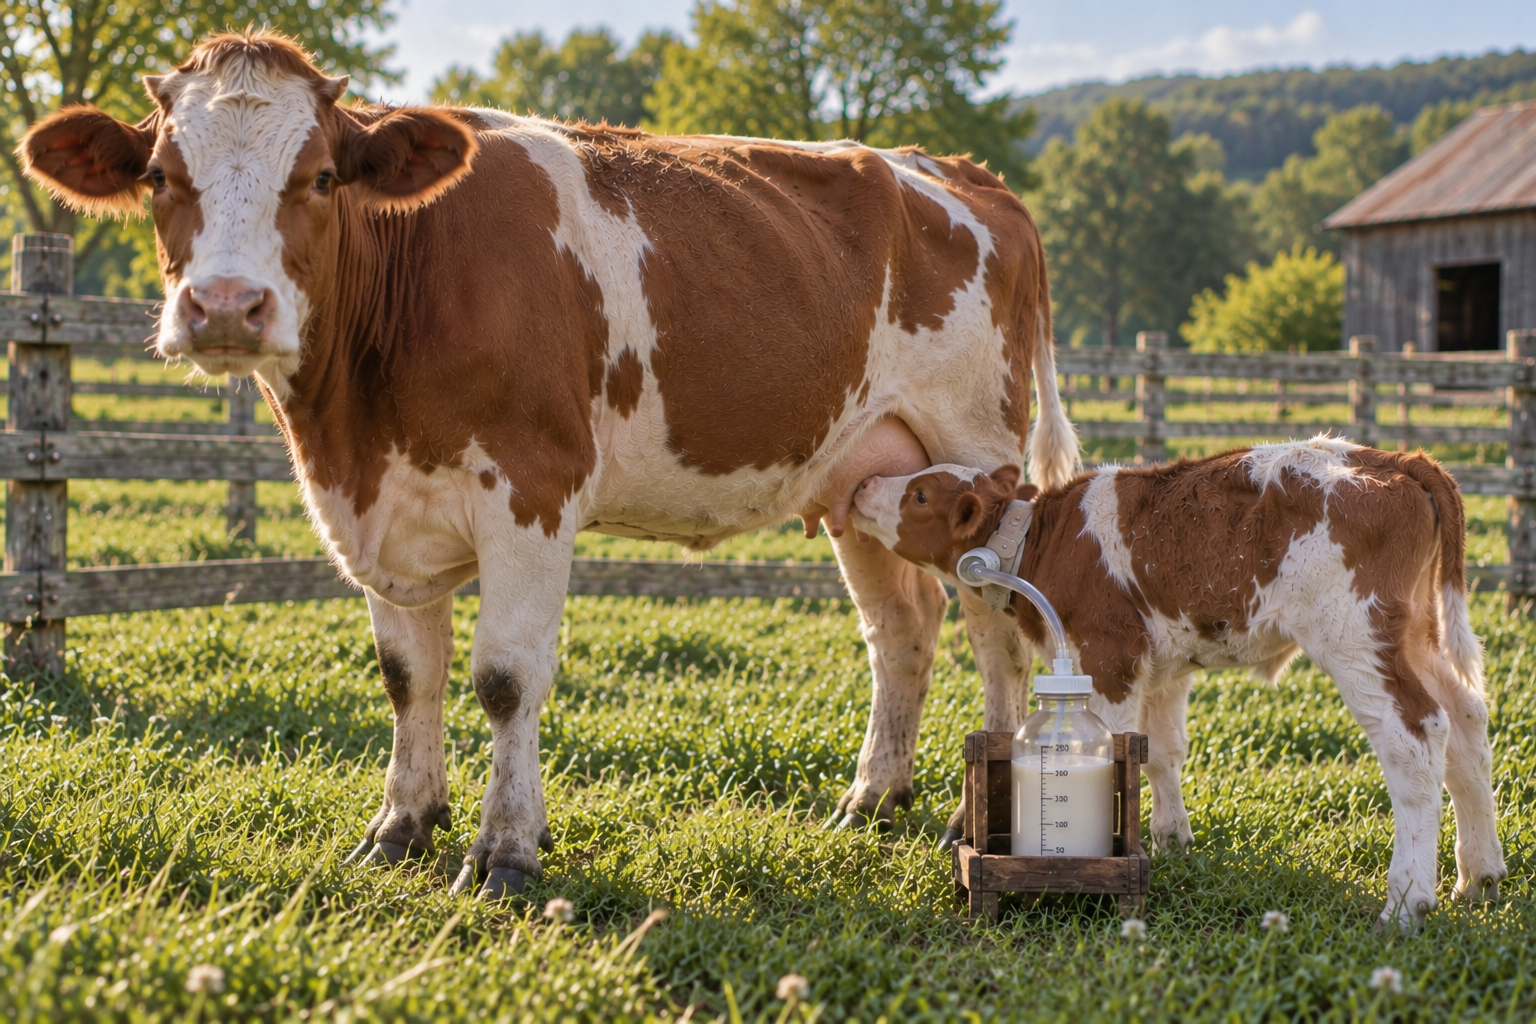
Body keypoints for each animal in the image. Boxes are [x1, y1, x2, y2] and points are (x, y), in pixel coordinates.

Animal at [20, 30, 1080, 898]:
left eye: (321, 177)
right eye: (161, 175)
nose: (227, 307)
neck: (355, 422)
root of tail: (959, 171)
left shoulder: (531, 488)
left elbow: (503, 677)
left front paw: (506, 852)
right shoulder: (382, 508)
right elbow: (407, 674)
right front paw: (400, 827)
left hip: (973, 455)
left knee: (995, 628)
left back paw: (969, 817)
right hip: (863, 473)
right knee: (902, 628)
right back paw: (871, 799)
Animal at [849, 437, 1506, 930]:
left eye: (920, 493)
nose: (861, 485)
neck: (1045, 539)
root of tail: (1395, 458)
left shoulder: (1109, 656)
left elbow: (1121, 750)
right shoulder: (1161, 667)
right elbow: (1160, 752)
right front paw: (1171, 840)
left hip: (1356, 636)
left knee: (1416, 737)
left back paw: (1406, 900)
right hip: (1414, 634)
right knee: (1466, 720)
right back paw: (1479, 875)